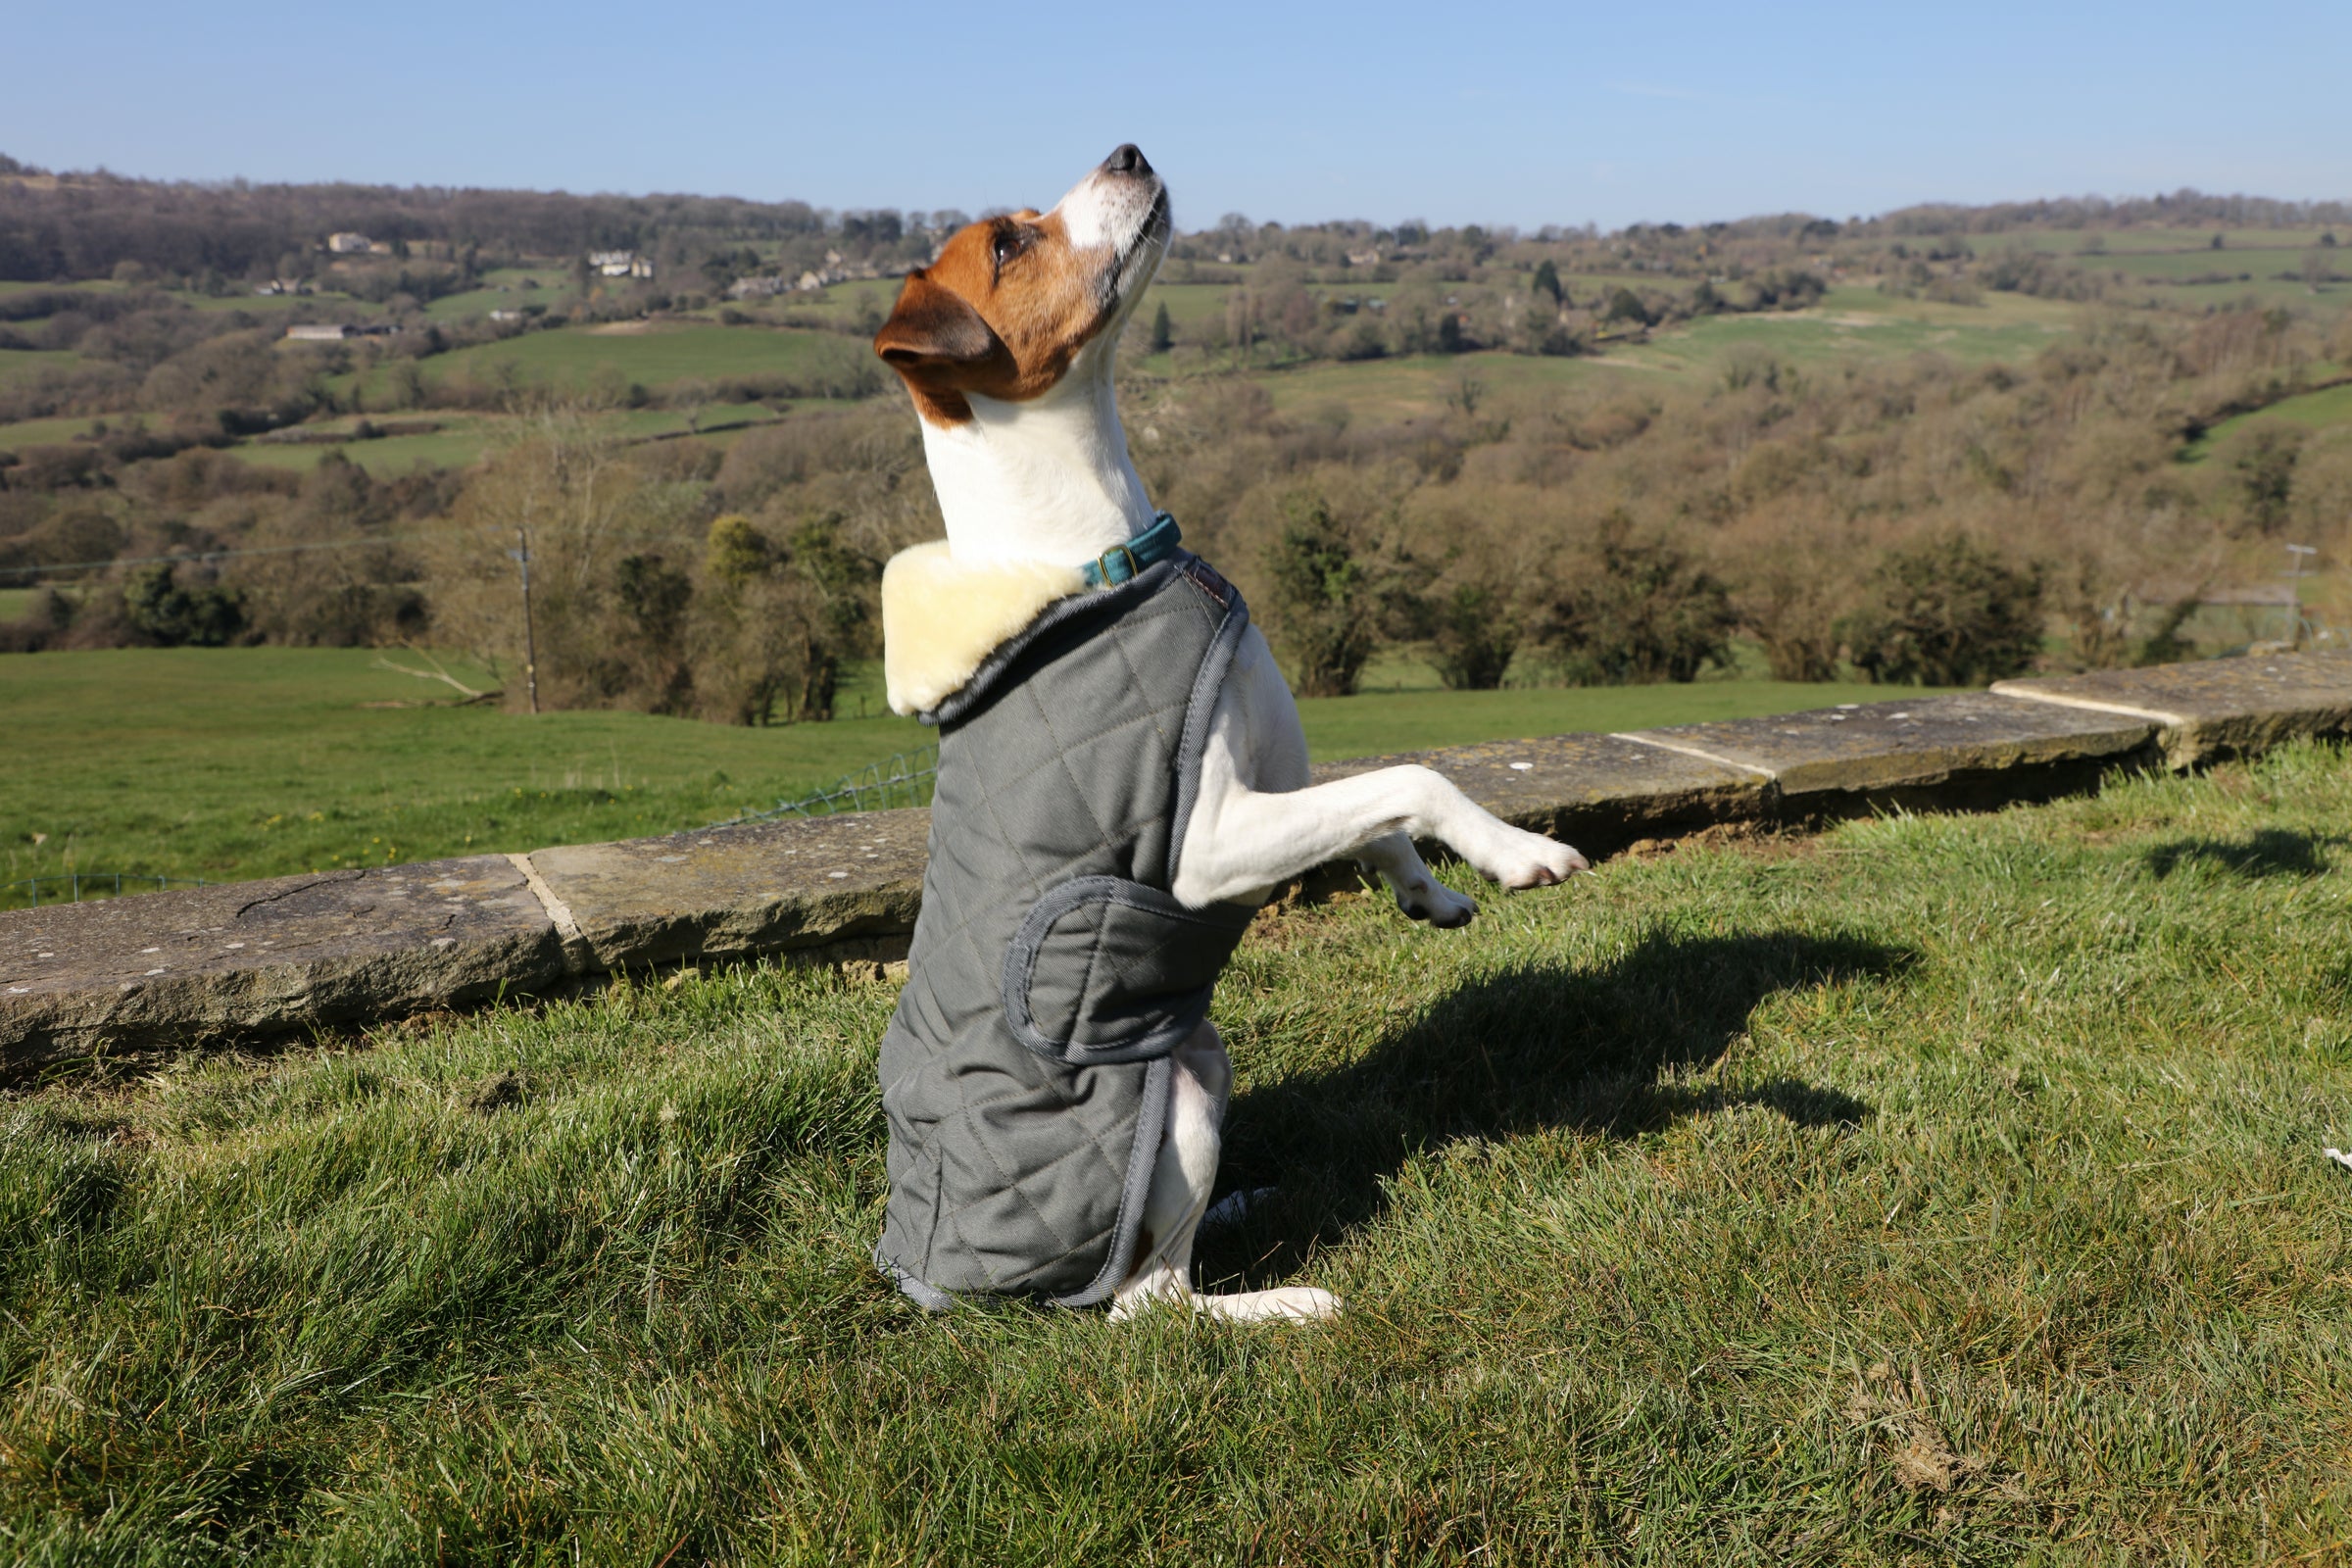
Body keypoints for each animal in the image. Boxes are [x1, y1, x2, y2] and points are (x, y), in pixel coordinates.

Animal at [865, 143, 1580, 1325]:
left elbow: (1371, 810)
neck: (1101, 557)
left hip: (1204, 1054)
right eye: (1008, 245)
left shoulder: (1276, 780)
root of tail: (962, 1287)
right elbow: (1412, 773)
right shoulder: (1207, 846)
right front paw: (1515, 850)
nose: (1128, 151)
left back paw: (1246, 1204)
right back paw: (1284, 1302)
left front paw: (1428, 892)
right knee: (1150, 1302)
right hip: (1186, 1089)